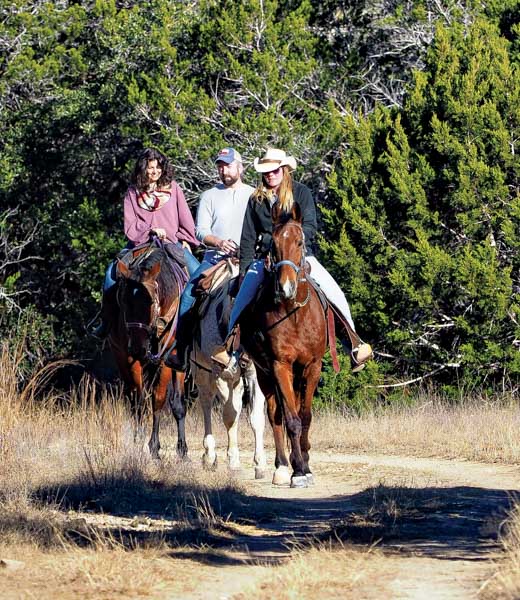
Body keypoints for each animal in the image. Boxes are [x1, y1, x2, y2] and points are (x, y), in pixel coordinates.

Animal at [109, 244, 189, 460]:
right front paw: (140, 442)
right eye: (124, 302)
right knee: (133, 398)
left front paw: (156, 447)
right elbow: (139, 401)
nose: (139, 348)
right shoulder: (129, 358)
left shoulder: (166, 359)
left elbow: (160, 400)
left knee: (176, 403)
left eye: (151, 302)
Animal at [189, 258, 266, 478]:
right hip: (202, 373)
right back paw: (210, 455)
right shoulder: (220, 374)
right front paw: (232, 461)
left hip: (236, 379)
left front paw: (260, 464)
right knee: (207, 403)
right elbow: (230, 416)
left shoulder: (254, 375)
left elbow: (255, 417)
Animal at [240, 202, 324, 488]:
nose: (286, 287)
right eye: (273, 245)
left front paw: (306, 466)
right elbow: (291, 420)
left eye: (299, 241)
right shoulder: (280, 366)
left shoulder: (312, 367)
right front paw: (297, 471)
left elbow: (305, 417)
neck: (294, 312)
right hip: (263, 374)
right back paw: (282, 466)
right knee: (275, 415)